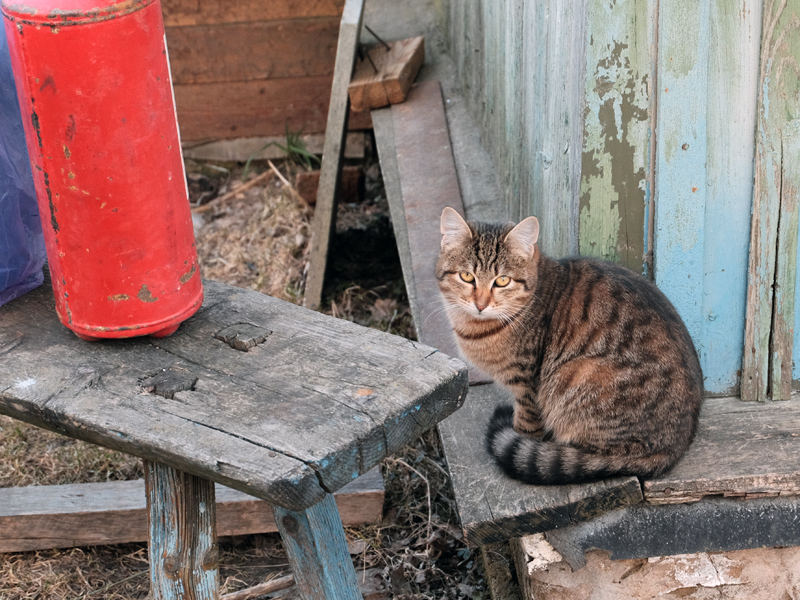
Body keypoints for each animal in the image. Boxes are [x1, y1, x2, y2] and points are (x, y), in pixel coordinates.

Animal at [434, 209, 704, 486]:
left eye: (502, 281)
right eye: (467, 276)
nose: (481, 304)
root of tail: (674, 449)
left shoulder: (528, 386)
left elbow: (527, 425)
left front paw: (521, 435)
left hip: (576, 375)